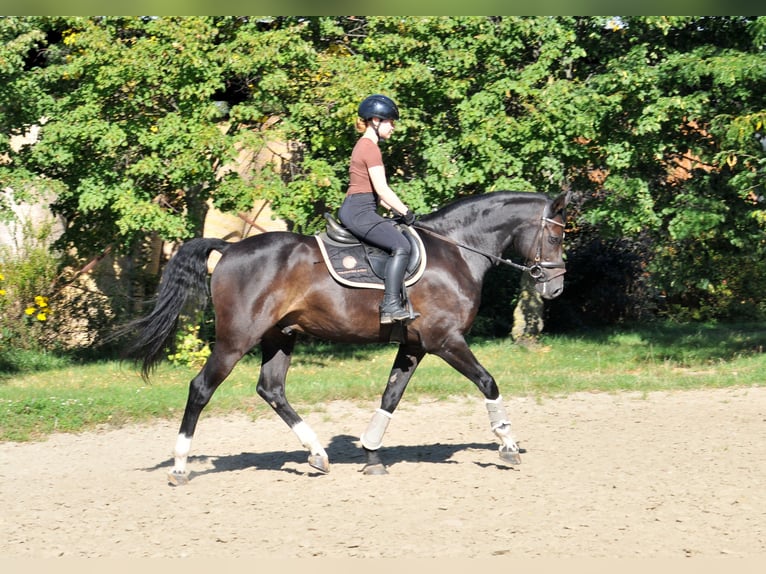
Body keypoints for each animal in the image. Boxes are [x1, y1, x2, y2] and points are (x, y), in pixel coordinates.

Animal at [123, 190, 569, 485]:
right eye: (556, 236)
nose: (556, 289)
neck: (457, 251)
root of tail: (229, 250)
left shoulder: (414, 346)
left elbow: (391, 396)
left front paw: (371, 453)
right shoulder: (445, 340)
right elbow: (488, 383)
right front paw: (507, 445)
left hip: (280, 336)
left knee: (271, 389)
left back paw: (318, 455)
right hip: (236, 340)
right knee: (201, 388)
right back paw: (180, 466)